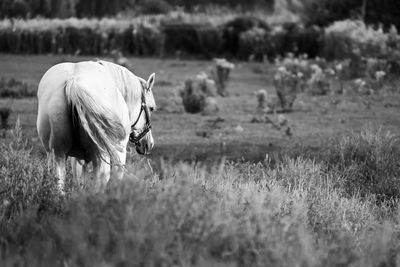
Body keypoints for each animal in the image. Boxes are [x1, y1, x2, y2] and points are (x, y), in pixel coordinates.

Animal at [36, 59, 156, 193]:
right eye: (151, 108)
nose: (149, 144)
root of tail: (74, 82)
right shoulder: (119, 155)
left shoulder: (76, 160)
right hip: (102, 157)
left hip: (57, 154)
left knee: (58, 183)